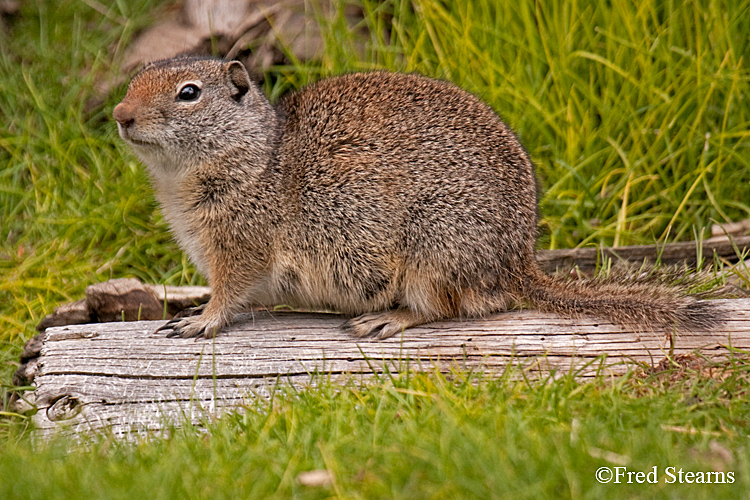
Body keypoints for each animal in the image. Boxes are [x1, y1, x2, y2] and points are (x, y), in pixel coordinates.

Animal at [111, 55, 724, 340]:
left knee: (451, 307)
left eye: (189, 94)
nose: (119, 114)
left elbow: (230, 293)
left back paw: (387, 320)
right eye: (135, 79)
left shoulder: (241, 248)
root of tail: (518, 262)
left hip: (432, 250)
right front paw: (191, 310)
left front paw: (200, 321)